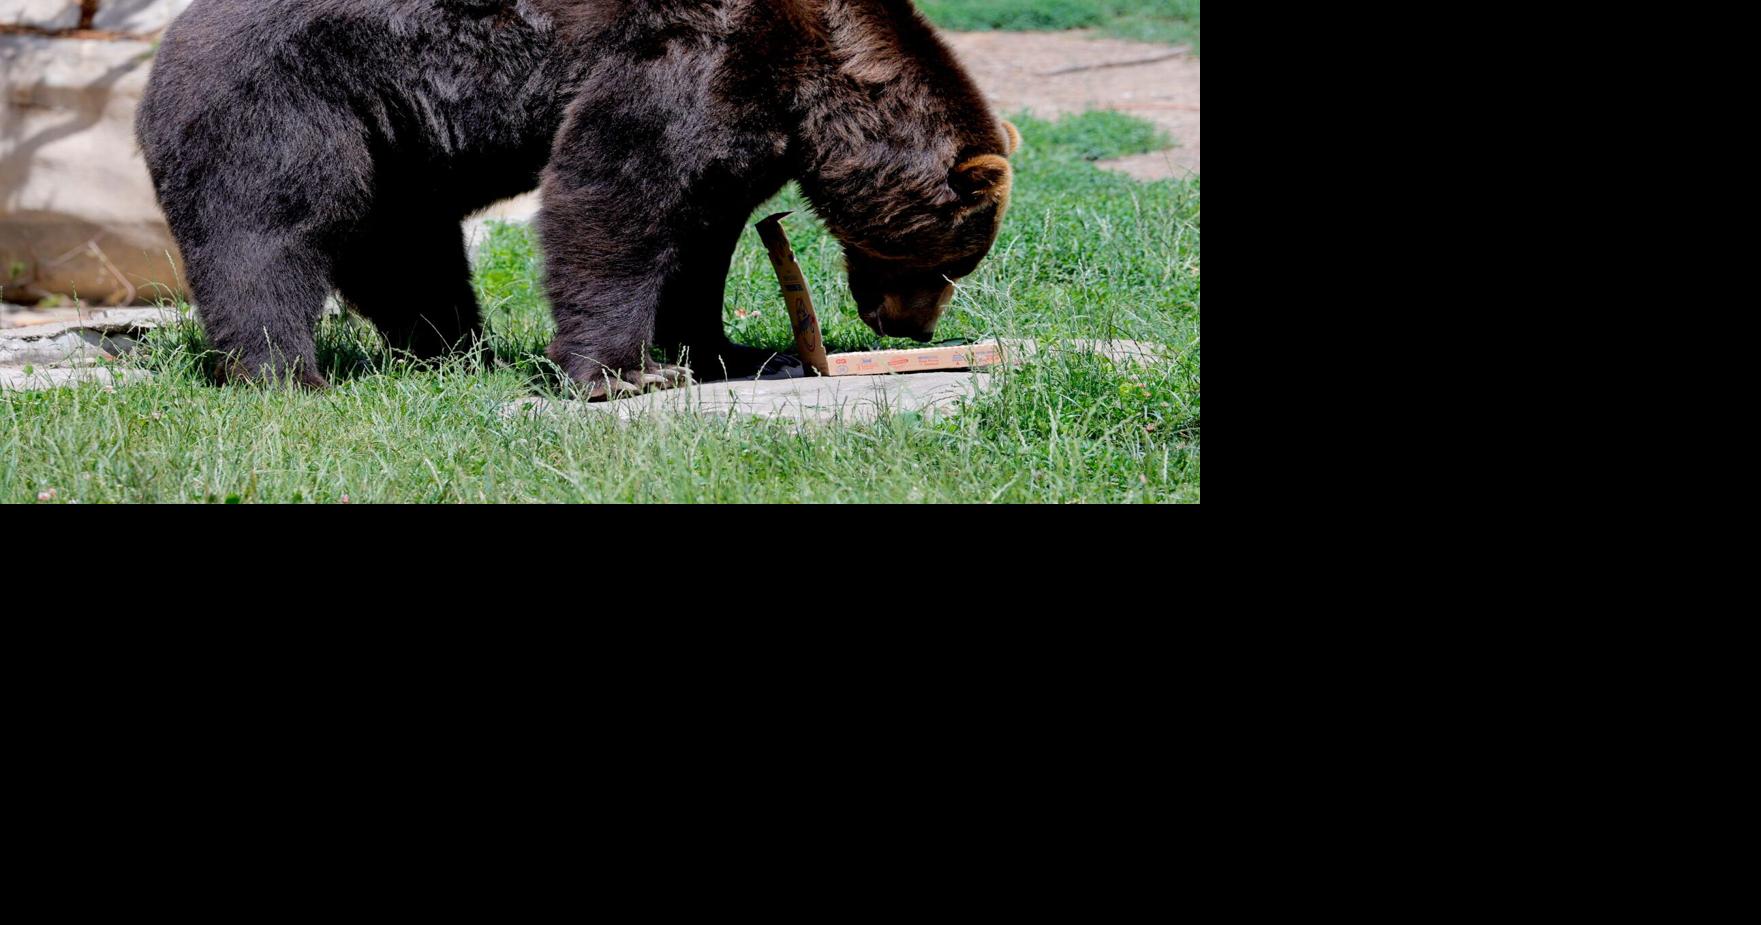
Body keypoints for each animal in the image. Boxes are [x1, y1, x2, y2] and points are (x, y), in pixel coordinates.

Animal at [136, 0, 1018, 392]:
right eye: (954, 261)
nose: (909, 326)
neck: (813, 83)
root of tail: (160, 48)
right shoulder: (695, 52)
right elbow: (616, 191)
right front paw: (624, 373)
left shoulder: (746, 122)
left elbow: (701, 234)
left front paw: (725, 350)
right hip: (285, 96)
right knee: (270, 230)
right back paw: (286, 372)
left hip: (392, 141)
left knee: (410, 252)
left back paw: (459, 350)